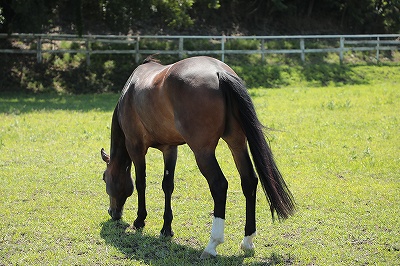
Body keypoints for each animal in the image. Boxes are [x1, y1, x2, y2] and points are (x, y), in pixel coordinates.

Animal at [99, 55, 294, 258]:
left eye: (104, 178)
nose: (112, 212)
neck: (130, 92)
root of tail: (219, 72)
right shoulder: (170, 149)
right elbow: (167, 186)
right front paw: (166, 229)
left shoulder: (136, 147)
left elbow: (140, 183)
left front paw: (140, 220)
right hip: (237, 143)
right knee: (249, 180)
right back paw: (247, 241)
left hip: (203, 153)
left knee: (219, 185)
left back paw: (212, 245)